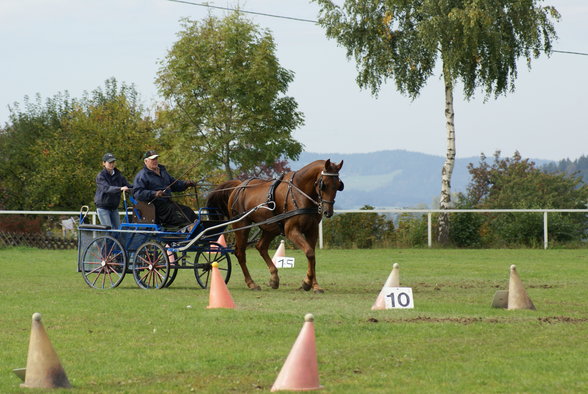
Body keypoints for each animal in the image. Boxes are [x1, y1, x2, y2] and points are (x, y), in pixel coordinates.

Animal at [207, 159, 344, 292]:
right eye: (323, 184)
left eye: (338, 185)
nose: (328, 212)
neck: (300, 191)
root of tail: (238, 186)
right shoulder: (291, 231)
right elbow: (309, 252)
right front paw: (307, 283)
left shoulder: (312, 230)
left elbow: (312, 256)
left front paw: (314, 285)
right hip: (241, 225)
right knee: (240, 253)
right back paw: (252, 283)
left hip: (271, 227)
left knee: (261, 247)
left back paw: (274, 278)